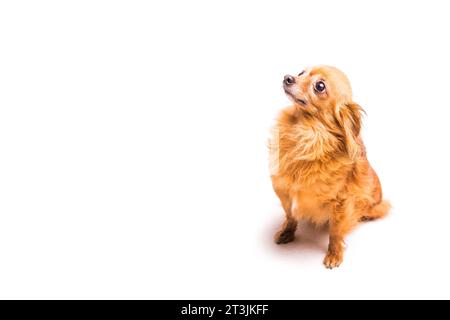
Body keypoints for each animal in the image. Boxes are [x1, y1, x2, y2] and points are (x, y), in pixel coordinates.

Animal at [270, 64, 390, 268]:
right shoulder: (284, 190)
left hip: (374, 207)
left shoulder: (342, 203)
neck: (306, 135)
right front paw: (287, 232)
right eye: (301, 73)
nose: (288, 78)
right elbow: (290, 216)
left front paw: (334, 254)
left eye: (320, 86)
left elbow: (335, 232)